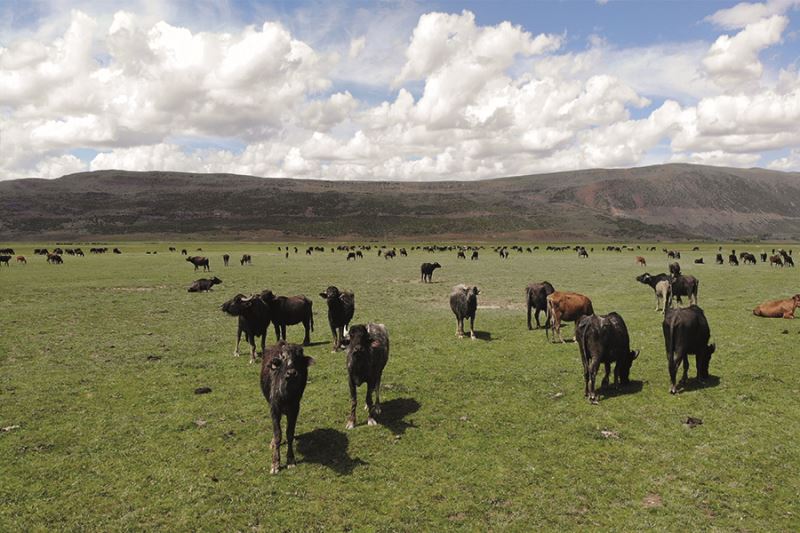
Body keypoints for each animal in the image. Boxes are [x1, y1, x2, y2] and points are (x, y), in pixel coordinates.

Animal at [260, 340, 314, 474]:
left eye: (298, 357)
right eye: (283, 357)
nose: (291, 373)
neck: (286, 395)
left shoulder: (295, 410)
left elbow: (289, 433)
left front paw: (290, 460)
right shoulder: (274, 410)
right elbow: (278, 434)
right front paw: (275, 463)